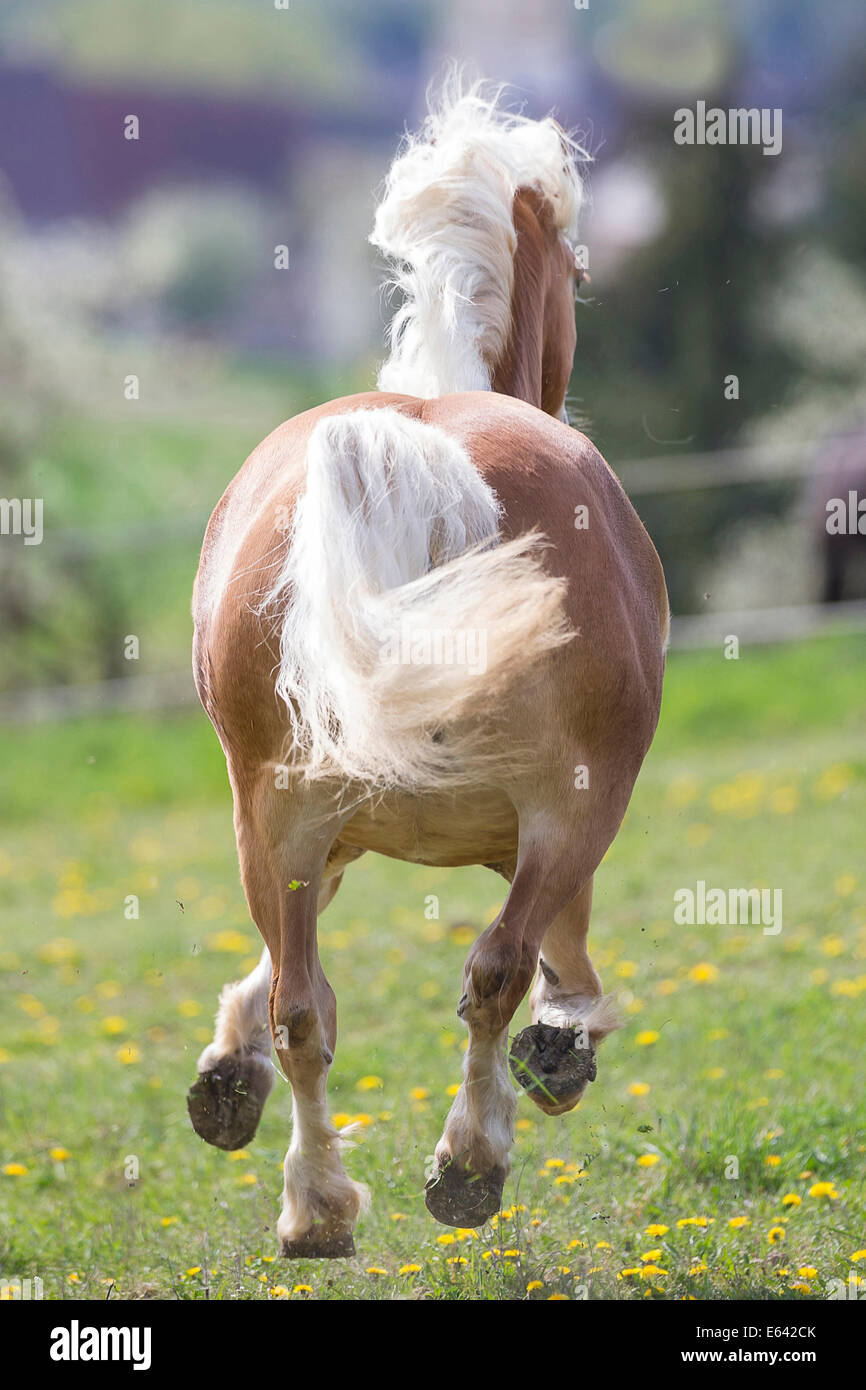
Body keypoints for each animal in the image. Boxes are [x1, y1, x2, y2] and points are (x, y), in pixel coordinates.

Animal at [186, 81, 669, 1258]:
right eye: (580, 271)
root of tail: (418, 448)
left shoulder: (324, 830)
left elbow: (282, 974)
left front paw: (224, 1075)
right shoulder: (558, 831)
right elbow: (555, 961)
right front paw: (559, 1049)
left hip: (275, 816)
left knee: (305, 1010)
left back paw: (314, 1207)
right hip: (568, 809)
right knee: (493, 971)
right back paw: (466, 1163)